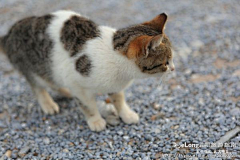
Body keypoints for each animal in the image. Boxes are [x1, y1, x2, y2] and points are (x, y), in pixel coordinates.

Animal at [0, 10, 174, 132]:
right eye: (165, 62)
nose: (173, 68)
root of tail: (9, 34)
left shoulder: (115, 84)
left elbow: (118, 99)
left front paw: (126, 114)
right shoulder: (77, 83)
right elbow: (88, 105)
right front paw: (95, 121)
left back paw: (65, 92)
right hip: (34, 68)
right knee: (37, 86)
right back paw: (48, 104)